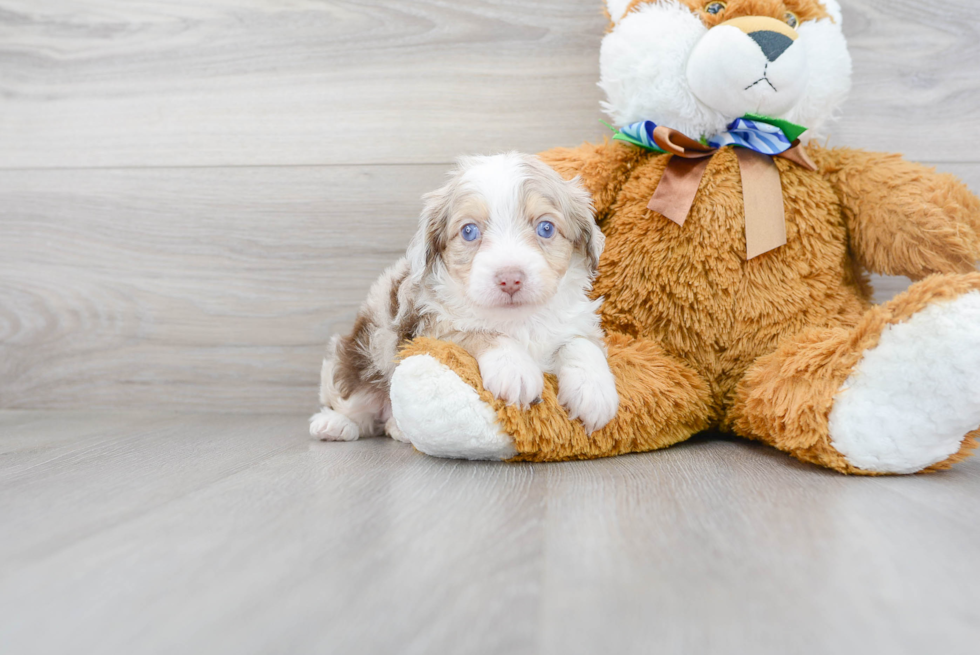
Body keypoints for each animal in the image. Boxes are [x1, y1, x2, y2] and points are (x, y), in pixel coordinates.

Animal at [310, 151, 620, 444]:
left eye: (546, 228)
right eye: (469, 231)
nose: (510, 278)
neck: (518, 320)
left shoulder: (576, 321)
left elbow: (581, 343)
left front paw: (594, 390)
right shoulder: (431, 328)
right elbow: (477, 331)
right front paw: (514, 368)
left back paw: (397, 428)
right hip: (359, 354)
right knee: (354, 405)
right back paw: (335, 424)